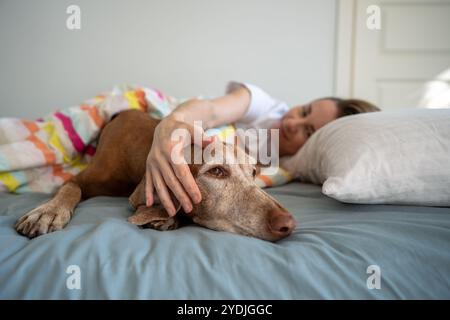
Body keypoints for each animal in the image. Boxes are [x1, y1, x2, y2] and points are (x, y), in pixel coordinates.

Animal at [14, 110, 296, 240]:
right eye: (217, 171)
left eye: (253, 172)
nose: (289, 223)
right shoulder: (79, 178)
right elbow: (70, 188)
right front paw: (48, 211)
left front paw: (167, 218)